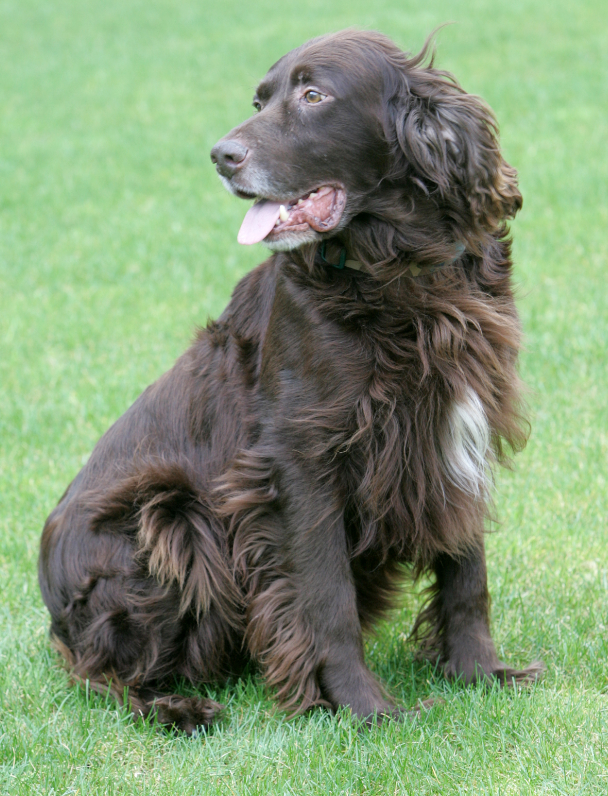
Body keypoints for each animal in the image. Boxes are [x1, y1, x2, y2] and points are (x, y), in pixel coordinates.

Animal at [38, 31, 540, 732]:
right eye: (259, 101)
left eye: (313, 96)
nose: (222, 156)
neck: (400, 269)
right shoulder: (300, 459)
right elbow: (326, 598)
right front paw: (362, 706)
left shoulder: (459, 425)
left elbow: (467, 572)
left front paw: (479, 673)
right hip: (170, 515)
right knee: (100, 672)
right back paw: (180, 706)